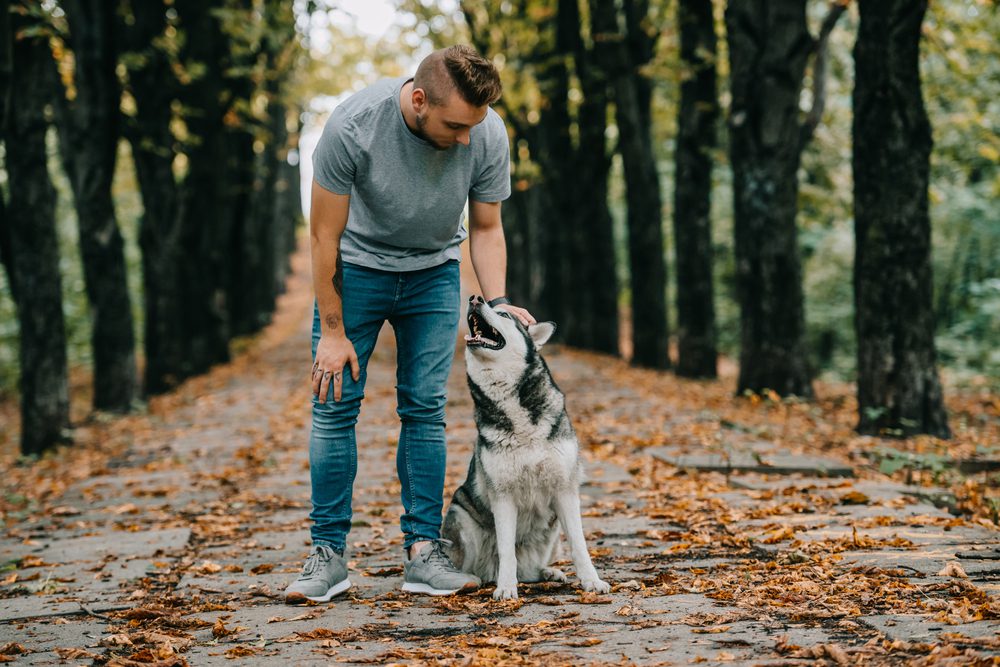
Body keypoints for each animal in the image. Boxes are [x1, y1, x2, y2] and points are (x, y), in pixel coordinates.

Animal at [444, 296, 608, 600]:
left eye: (505, 315)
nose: (475, 298)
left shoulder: (565, 491)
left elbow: (579, 545)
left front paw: (592, 581)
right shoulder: (503, 496)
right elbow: (507, 551)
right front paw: (506, 588)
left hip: (552, 532)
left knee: (531, 568)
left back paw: (548, 573)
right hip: (462, 519)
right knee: (482, 566)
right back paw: (475, 579)